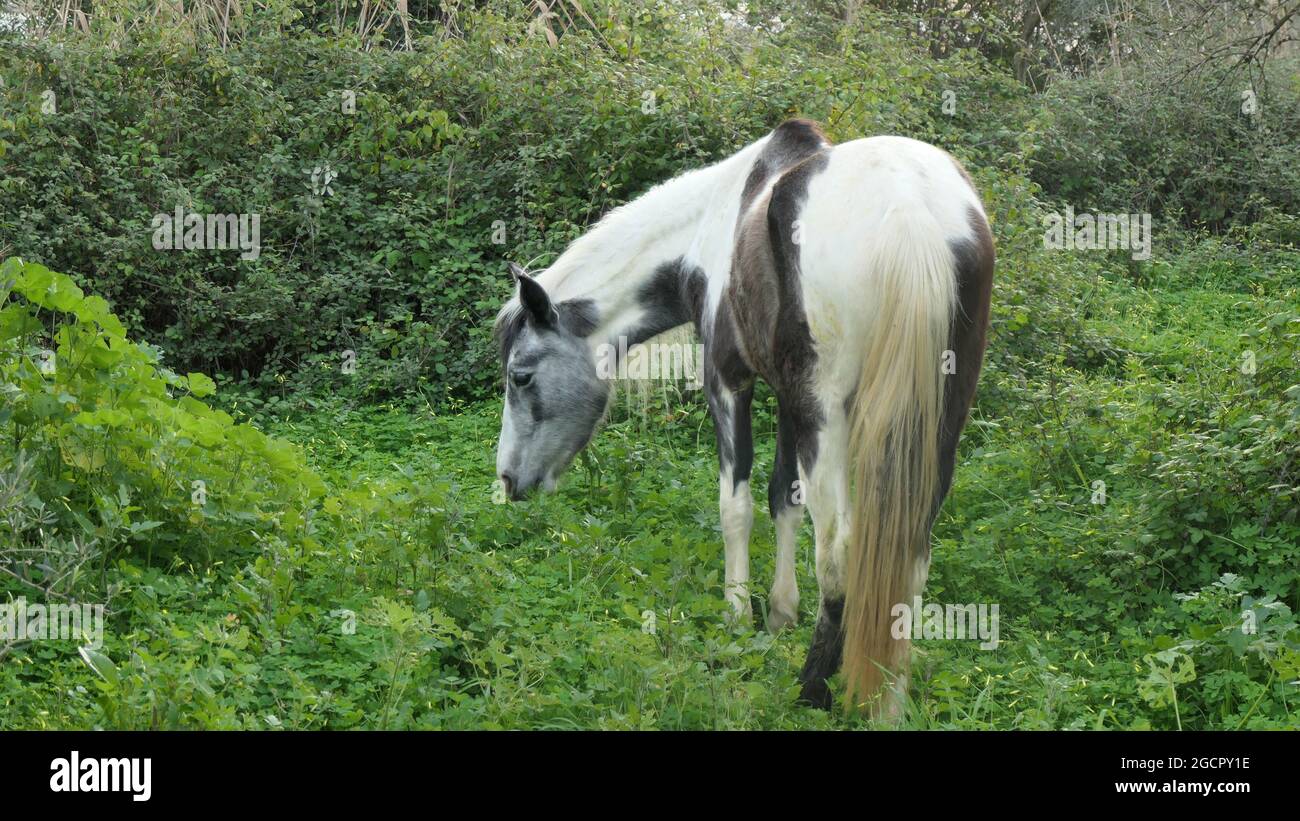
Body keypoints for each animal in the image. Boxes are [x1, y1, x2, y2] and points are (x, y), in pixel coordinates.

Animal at [493, 118, 993, 717]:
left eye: (520, 376)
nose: (508, 480)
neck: (711, 228)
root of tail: (908, 206)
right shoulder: (787, 397)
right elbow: (783, 500)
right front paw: (778, 615)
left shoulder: (730, 382)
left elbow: (737, 506)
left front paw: (737, 617)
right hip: (937, 422)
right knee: (909, 558)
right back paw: (890, 701)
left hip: (827, 414)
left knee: (840, 550)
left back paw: (813, 688)